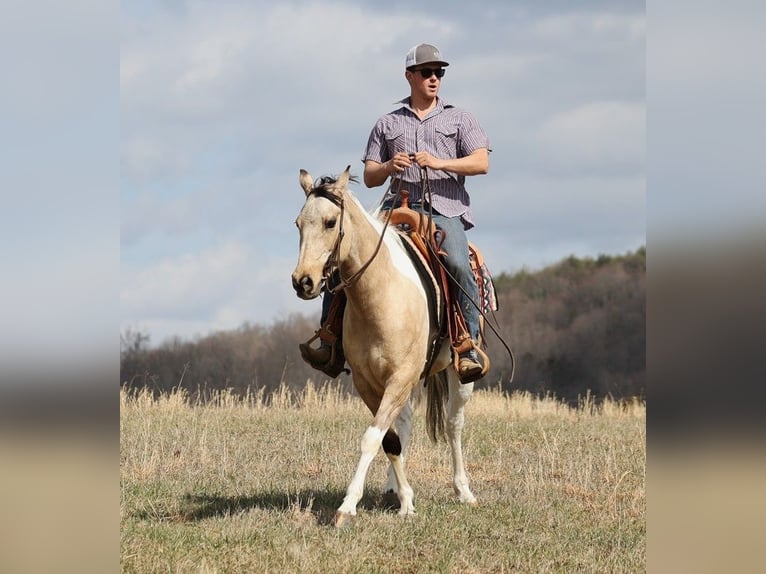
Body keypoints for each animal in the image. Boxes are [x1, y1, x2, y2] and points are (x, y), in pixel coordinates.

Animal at [292, 165, 476, 528]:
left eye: (330, 222)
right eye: (298, 223)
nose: (303, 281)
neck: (380, 294)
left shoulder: (401, 377)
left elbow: (371, 438)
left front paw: (347, 507)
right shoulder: (368, 381)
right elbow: (387, 440)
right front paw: (406, 500)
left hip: (458, 375)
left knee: (453, 425)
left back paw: (464, 490)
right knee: (403, 425)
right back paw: (394, 489)